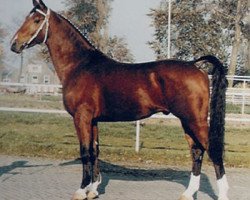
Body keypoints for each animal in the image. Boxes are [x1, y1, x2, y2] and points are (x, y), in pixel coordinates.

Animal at [11, 0, 229, 199]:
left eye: (37, 19)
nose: (14, 44)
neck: (80, 65)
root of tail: (195, 66)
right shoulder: (93, 120)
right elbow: (95, 151)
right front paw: (93, 190)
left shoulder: (81, 117)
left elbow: (85, 152)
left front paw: (81, 191)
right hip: (187, 121)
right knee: (197, 152)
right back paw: (188, 193)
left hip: (195, 120)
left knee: (213, 151)